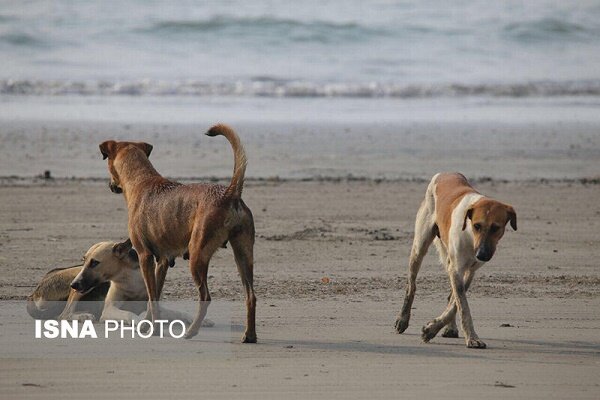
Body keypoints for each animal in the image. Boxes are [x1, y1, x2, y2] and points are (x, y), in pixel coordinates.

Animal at [101, 124, 255, 340]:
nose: (110, 185)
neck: (141, 180)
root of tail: (229, 194)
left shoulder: (144, 256)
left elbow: (151, 297)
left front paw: (154, 329)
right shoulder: (163, 261)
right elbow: (155, 296)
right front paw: (148, 326)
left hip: (198, 255)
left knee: (205, 296)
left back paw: (191, 331)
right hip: (243, 254)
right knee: (251, 295)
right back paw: (249, 336)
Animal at [394, 173, 516, 348]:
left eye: (496, 228)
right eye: (477, 225)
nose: (482, 255)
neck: (470, 236)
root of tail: (444, 173)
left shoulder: (469, 271)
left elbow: (456, 302)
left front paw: (432, 328)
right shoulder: (457, 268)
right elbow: (463, 306)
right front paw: (472, 338)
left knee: (451, 295)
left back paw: (449, 327)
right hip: (420, 246)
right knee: (411, 285)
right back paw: (402, 319)